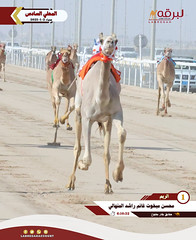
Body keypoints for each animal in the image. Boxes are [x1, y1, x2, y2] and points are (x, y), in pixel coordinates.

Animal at [66, 33, 126, 194]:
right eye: (101, 40)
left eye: (116, 40)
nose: (110, 42)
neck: (101, 98)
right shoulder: (87, 117)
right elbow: (86, 155)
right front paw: (82, 164)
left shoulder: (115, 113)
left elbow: (122, 134)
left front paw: (118, 174)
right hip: (79, 112)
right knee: (77, 147)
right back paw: (70, 182)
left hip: (106, 122)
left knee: (106, 153)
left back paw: (107, 185)